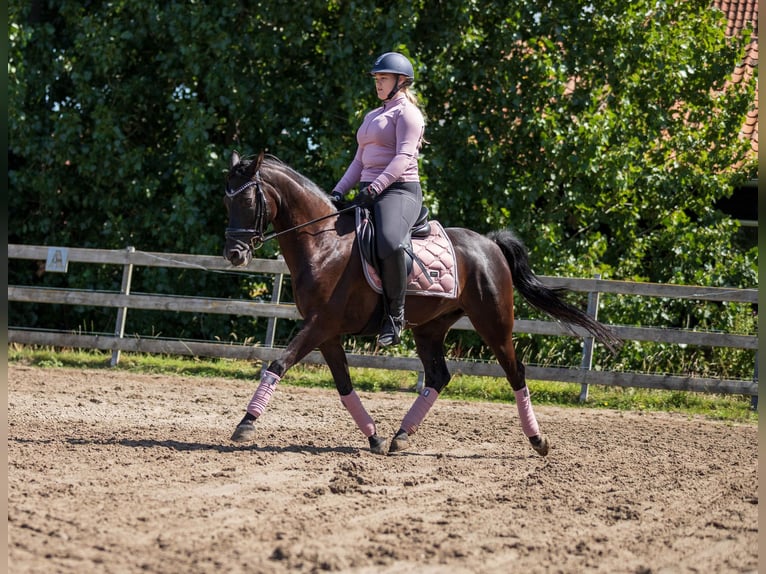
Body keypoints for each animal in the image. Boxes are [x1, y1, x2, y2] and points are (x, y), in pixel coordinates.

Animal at [225, 152, 620, 460]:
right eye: (227, 202)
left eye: (248, 202)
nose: (234, 254)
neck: (325, 247)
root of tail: (489, 244)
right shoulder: (327, 333)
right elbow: (344, 385)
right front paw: (374, 436)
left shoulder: (321, 324)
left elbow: (279, 362)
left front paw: (245, 424)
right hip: (430, 328)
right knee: (438, 376)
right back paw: (401, 436)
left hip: (493, 323)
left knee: (516, 372)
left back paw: (538, 440)